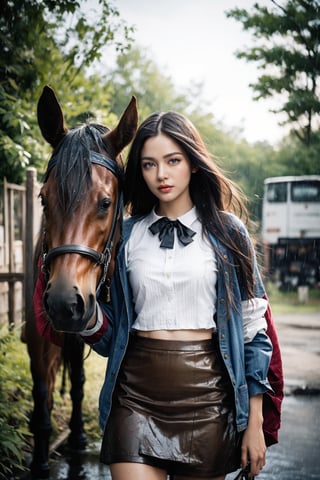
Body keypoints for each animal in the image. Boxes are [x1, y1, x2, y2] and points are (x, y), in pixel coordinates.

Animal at [23, 84, 137, 478]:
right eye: (43, 198)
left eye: (105, 202)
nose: (63, 302)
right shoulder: (38, 336)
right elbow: (41, 396)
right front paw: (40, 461)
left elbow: (78, 383)